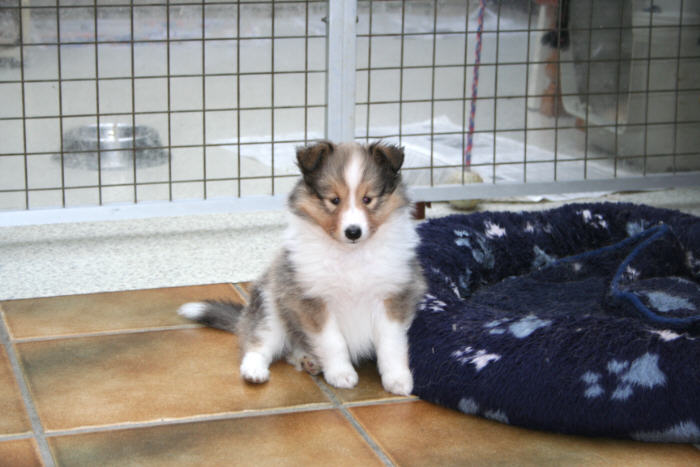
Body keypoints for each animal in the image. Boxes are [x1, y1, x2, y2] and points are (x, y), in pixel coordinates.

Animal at [178, 141, 426, 395]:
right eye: (334, 200)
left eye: (368, 199)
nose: (353, 232)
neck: (350, 254)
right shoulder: (313, 299)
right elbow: (333, 341)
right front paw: (341, 374)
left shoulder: (394, 296)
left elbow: (391, 344)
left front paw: (398, 380)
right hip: (270, 309)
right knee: (256, 344)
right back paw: (255, 372)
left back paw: (309, 360)